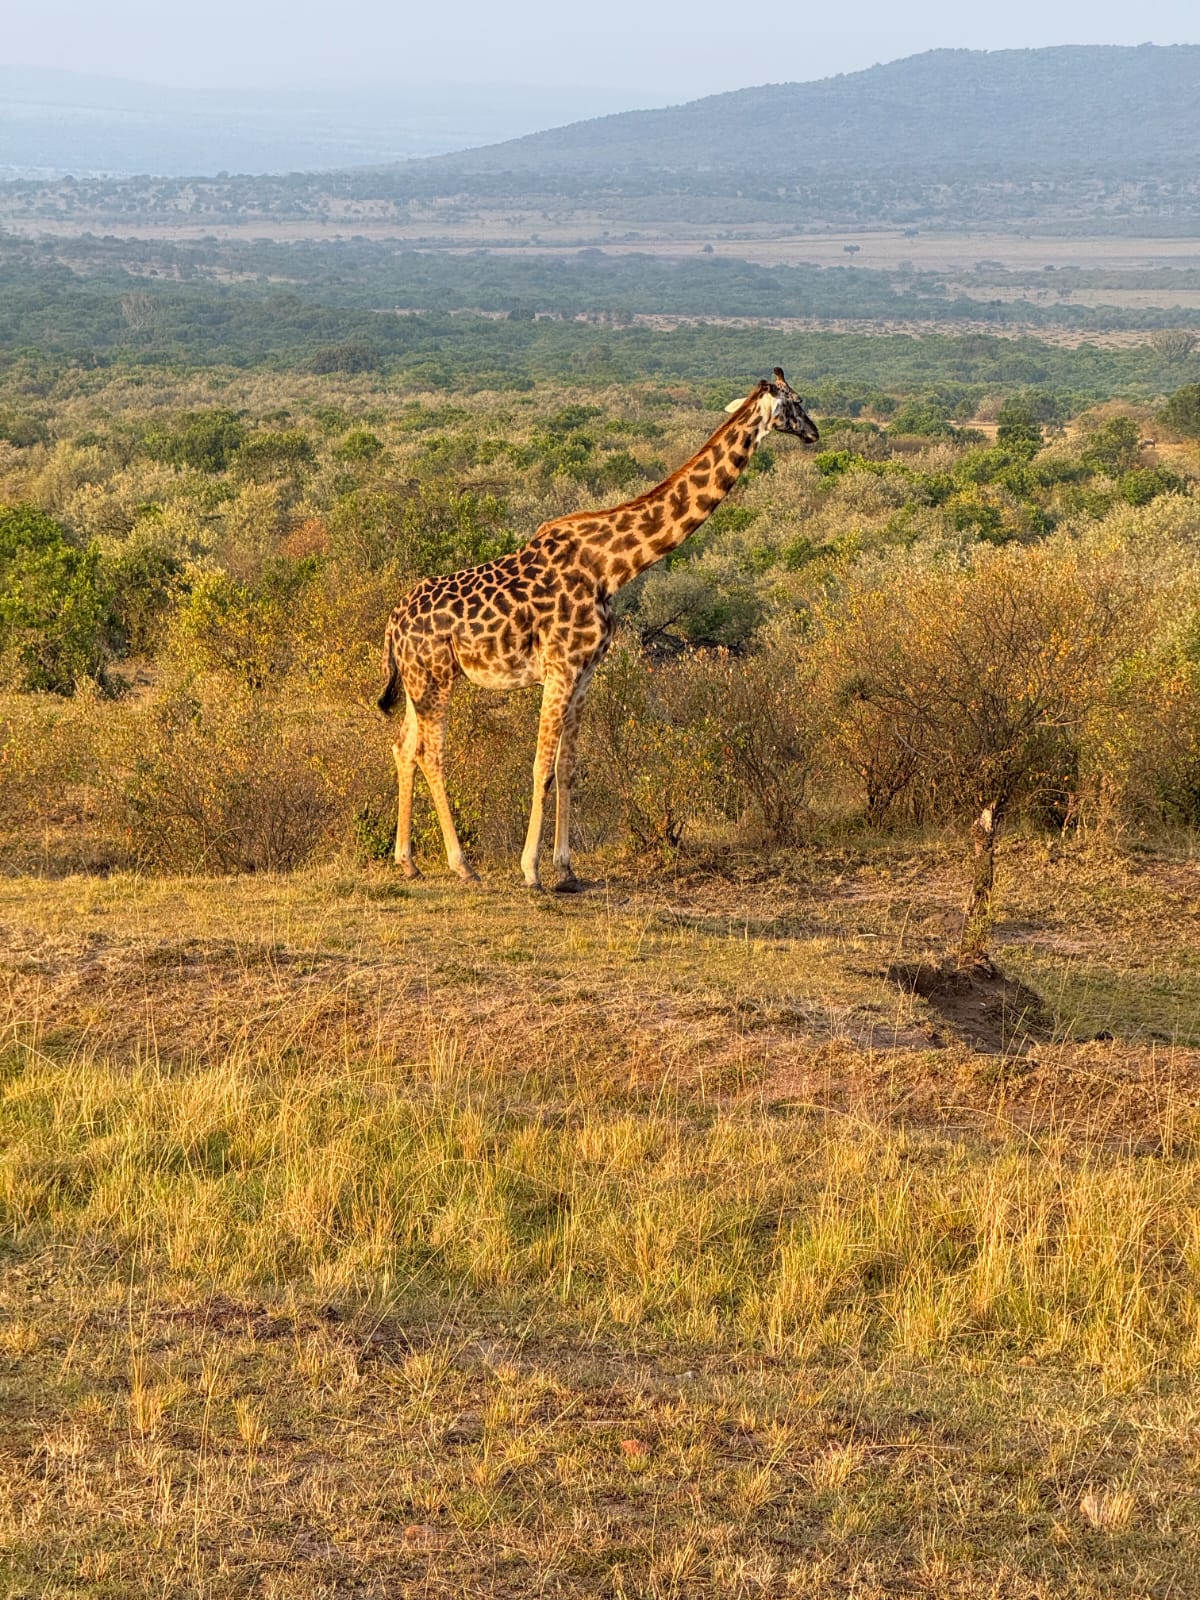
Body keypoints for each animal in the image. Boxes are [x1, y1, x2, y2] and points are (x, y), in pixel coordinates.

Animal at [377, 368, 818, 890]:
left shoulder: (585, 672)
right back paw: (462, 864)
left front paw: (566, 869)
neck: (611, 566)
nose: (814, 432)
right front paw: (531, 871)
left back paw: (407, 860)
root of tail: (393, 623)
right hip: (436, 678)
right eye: (796, 402)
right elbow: (541, 767)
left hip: (417, 681)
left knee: (404, 746)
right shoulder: (560, 668)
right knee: (430, 753)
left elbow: (569, 767)